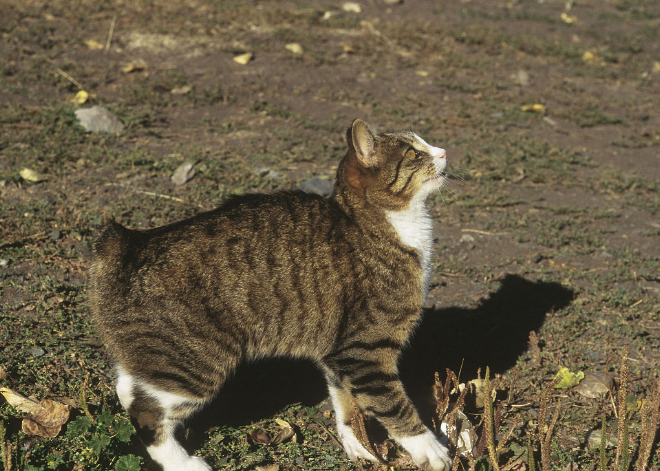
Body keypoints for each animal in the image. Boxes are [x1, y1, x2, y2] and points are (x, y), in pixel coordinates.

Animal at [90, 120, 454, 470]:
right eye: (412, 153)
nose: (443, 151)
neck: (383, 223)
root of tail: (130, 242)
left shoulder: (338, 351)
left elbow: (346, 401)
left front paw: (358, 445)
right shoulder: (365, 350)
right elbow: (393, 404)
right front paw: (429, 448)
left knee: (127, 387)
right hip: (193, 364)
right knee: (146, 411)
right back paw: (185, 463)